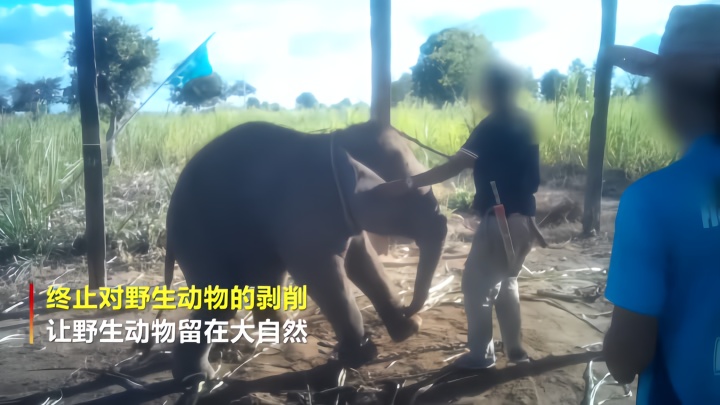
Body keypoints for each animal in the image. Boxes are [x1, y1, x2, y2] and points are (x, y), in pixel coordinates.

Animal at [164, 120, 448, 384]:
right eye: (406, 193)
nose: (410, 309)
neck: (338, 141)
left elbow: (364, 262)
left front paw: (408, 330)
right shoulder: (306, 210)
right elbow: (323, 276)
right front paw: (361, 356)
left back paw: (281, 328)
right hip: (197, 235)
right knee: (221, 301)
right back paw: (198, 378)